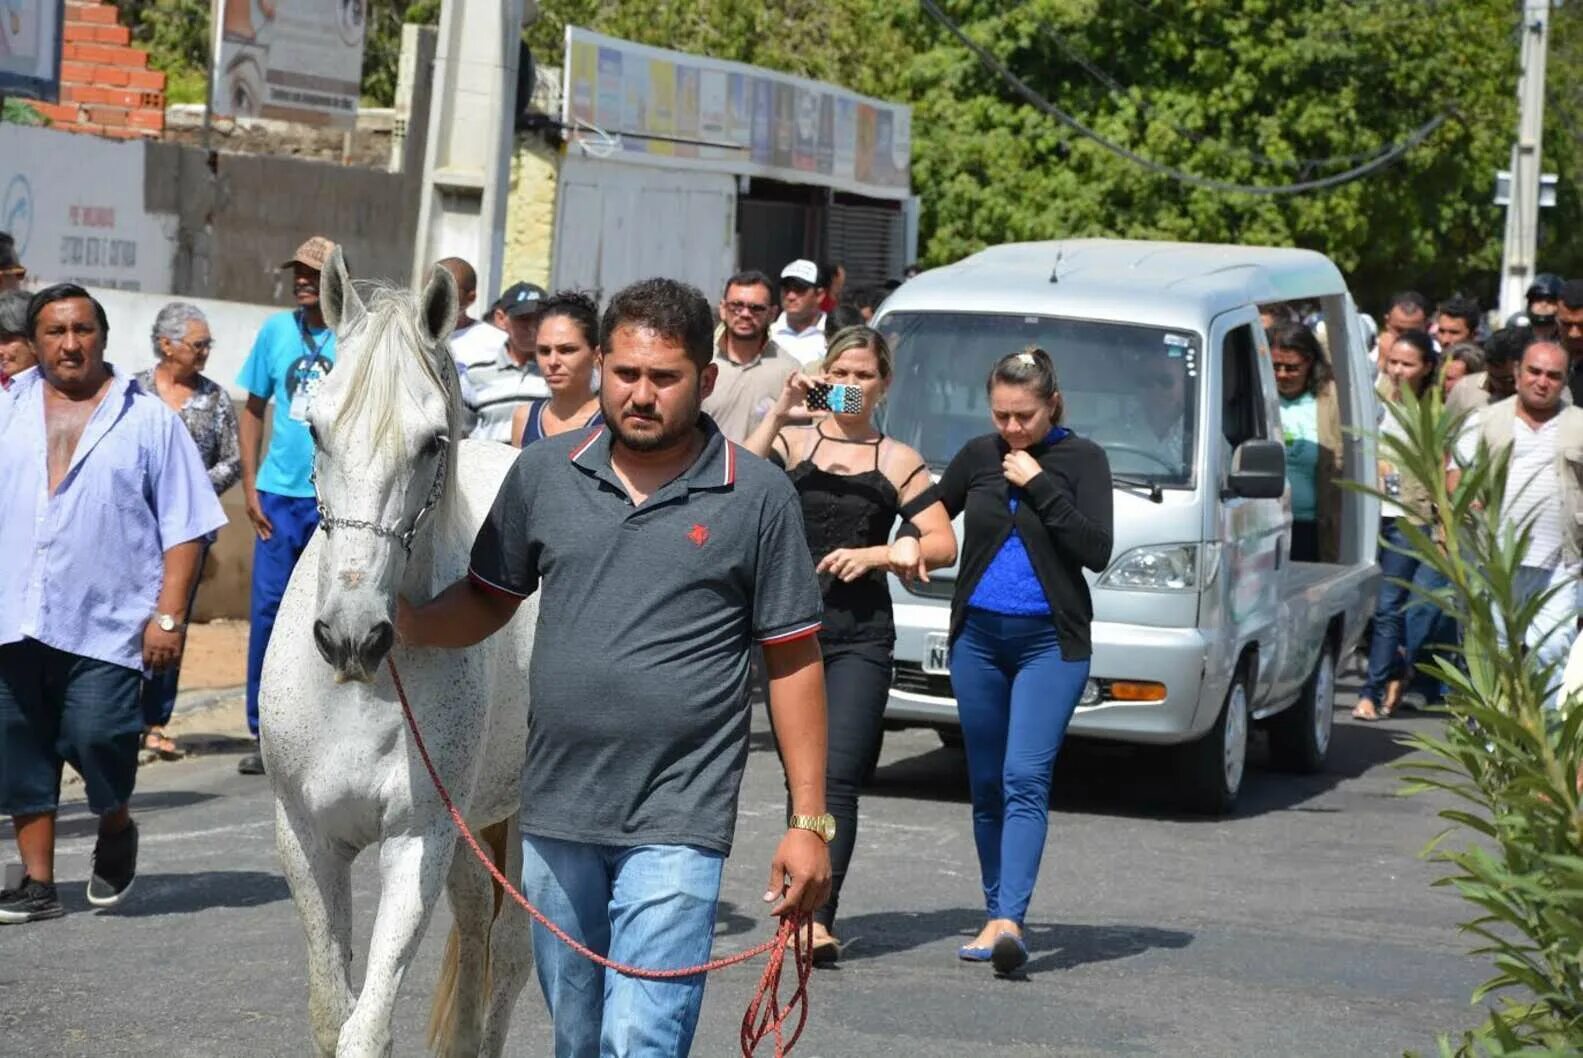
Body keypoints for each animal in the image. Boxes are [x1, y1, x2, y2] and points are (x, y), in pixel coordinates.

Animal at [256, 250, 535, 1058]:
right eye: (315, 430)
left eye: (432, 441)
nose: (351, 636)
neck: (360, 691)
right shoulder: (306, 838)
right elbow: (332, 1011)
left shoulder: (418, 841)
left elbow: (366, 1027)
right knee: (476, 923)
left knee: (510, 949)